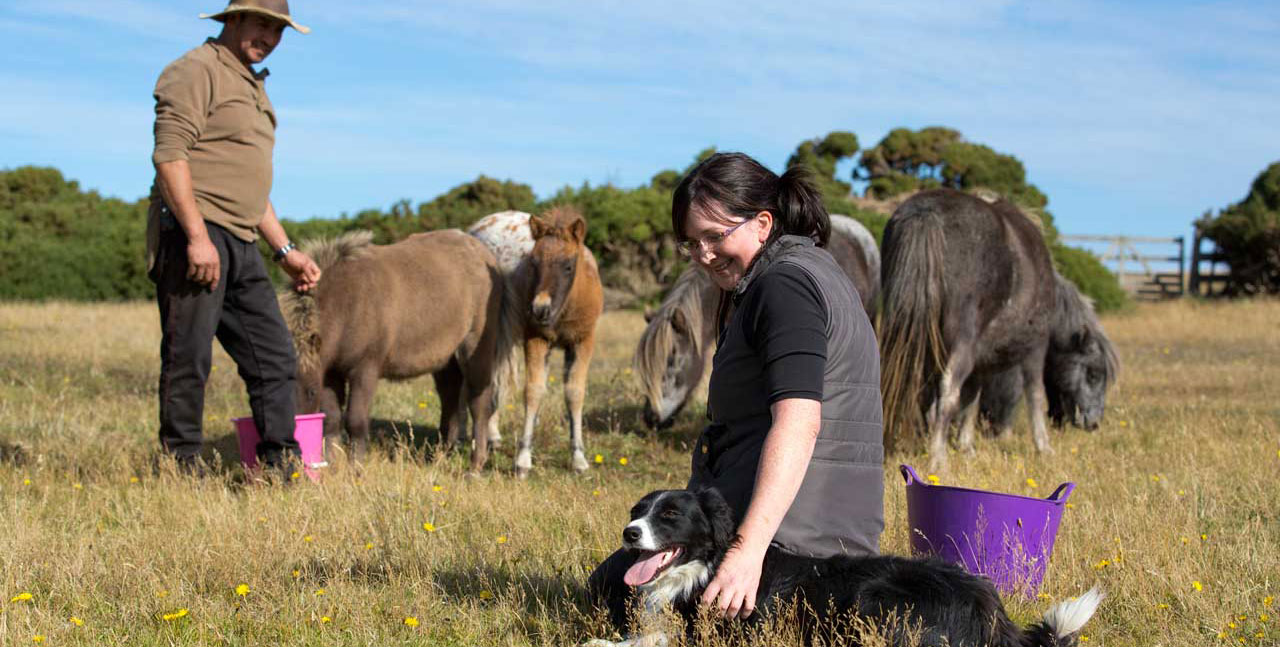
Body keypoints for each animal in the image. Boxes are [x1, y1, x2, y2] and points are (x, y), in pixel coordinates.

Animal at [282, 229, 506, 471]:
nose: (294, 447)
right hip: (446, 359)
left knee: (479, 403)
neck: (347, 302)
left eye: (311, 392)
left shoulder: (365, 369)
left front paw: (356, 470)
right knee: (450, 398)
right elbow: (332, 420)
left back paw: (475, 466)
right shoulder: (330, 372)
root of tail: (484, 253)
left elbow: (355, 421)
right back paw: (441, 456)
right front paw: (333, 468)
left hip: (476, 348)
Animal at [880, 188, 1059, 468]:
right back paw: (938, 460)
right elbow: (1035, 394)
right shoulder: (1035, 348)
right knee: (949, 391)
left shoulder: (978, 360)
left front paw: (965, 446)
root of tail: (926, 211)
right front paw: (1044, 446)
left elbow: (972, 399)